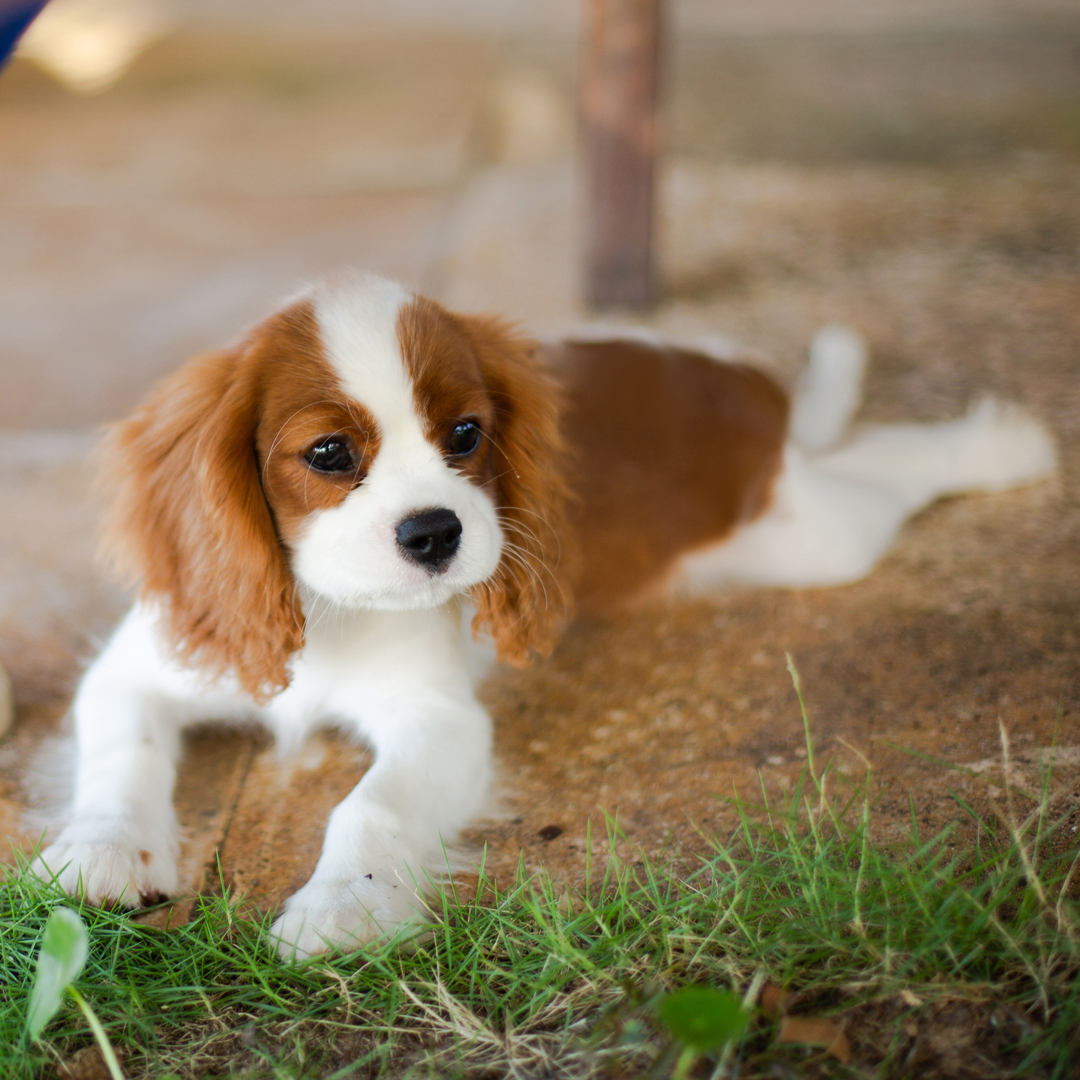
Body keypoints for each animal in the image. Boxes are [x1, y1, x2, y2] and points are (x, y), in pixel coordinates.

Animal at [31, 274, 1054, 959]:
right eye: (327, 453)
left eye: (466, 436)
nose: (437, 532)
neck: (330, 610)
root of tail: (743, 389)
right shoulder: (138, 668)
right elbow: (122, 757)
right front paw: (101, 853)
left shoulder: (441, 724)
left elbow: (371, 808)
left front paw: (346, 907)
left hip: (810, 538)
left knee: (891, 469)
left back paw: (997, 445)